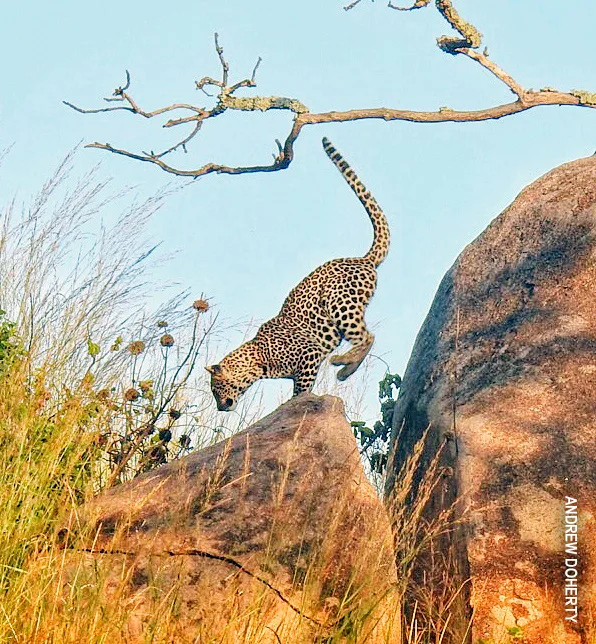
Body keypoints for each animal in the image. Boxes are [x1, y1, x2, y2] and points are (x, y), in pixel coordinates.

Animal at [207, 137, 390, 412]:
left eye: (216, 389)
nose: (220, 407)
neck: (257, 360)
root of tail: (363, 258)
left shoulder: (309, 356)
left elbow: (301, 391)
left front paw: (298, 405)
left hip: (341, 305)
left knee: (367, 336)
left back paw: (342, 365)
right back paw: (346, 368)